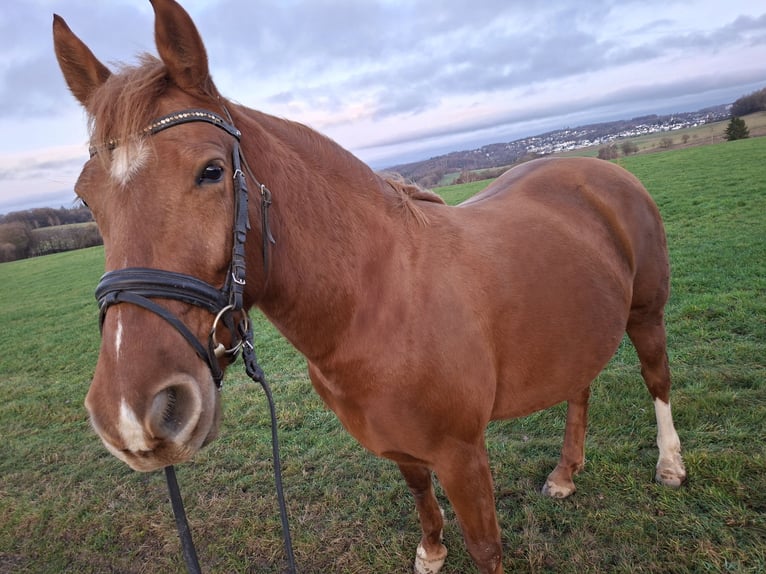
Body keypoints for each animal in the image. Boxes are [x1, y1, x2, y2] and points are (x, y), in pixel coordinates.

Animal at [53, 1, 686, 572]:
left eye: (210, 171)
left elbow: (486, 547)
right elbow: (420, 494)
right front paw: (431, 552)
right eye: (86, 197)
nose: (133, 414)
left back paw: (670, 465)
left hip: (646, 314)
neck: (376, 302)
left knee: (656, 377)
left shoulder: (463, 456)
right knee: (579, 387)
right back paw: (564, 473)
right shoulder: (400, 445)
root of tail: (600, 168)